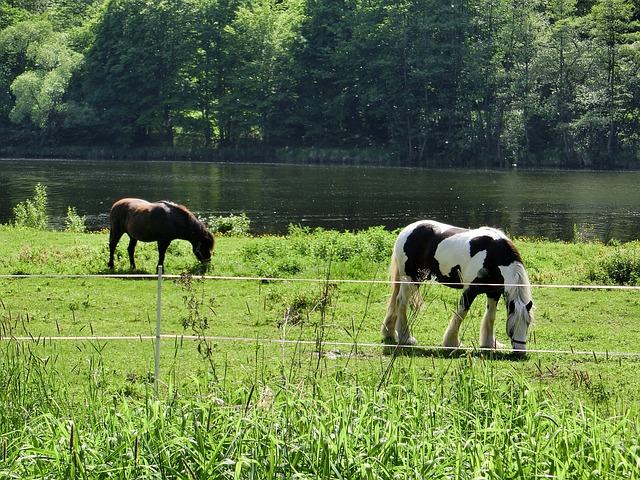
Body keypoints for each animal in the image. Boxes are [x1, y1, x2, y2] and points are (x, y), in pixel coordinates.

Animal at [382, 220, 532, 352]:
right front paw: (452, 342)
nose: (520, 352)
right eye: (511, 327)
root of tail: (406, 231)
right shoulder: (470, 290)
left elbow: (491, 316)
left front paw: (489, 343)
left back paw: (389, 332)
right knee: (402, 302)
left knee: (396, 301)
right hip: (411, 280)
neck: (493, 255)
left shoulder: (494, 292)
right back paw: (406, 338)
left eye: (528, 324)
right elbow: (461, 314)